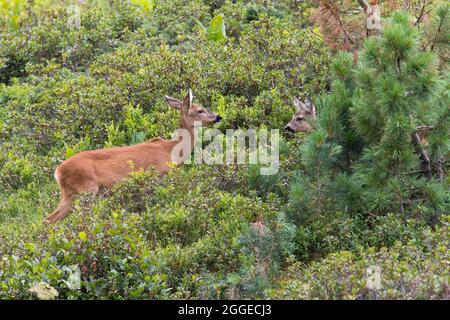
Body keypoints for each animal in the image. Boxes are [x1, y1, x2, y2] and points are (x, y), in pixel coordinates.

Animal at [44, 89, 221, 225]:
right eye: (200, 110)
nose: (218, 116)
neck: (173, 150)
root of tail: (58, 171)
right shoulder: (158, 177)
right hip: (84, 190)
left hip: (70, 193)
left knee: (47, 219)